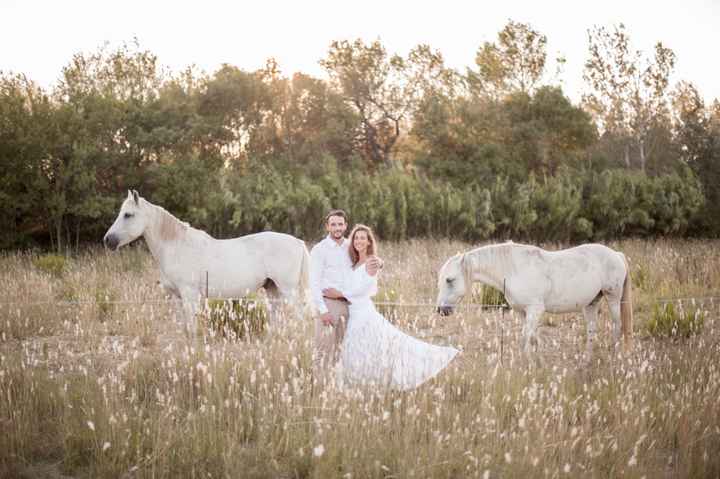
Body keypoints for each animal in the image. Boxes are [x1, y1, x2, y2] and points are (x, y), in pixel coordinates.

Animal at [102, 190, 312, 334]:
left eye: (128, 214)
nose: (107, 240)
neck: (177, 247)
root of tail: (298, 242)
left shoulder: (190, 296)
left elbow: (192, 329)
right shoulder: (176, 298)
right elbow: (185, 330)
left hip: (288, 290)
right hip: (273, 290)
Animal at [436, 244, 632, 356]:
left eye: (450, 280)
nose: (441, 310)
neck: (514, 269)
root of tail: (617, 254)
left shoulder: (535, 310)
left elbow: (525, 339)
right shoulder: (523, 313)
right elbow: (533, 339)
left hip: (613, 299)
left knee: (617, 327)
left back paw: (613, 359)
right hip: (591, 304)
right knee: (592, 332)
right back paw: (585, 363)